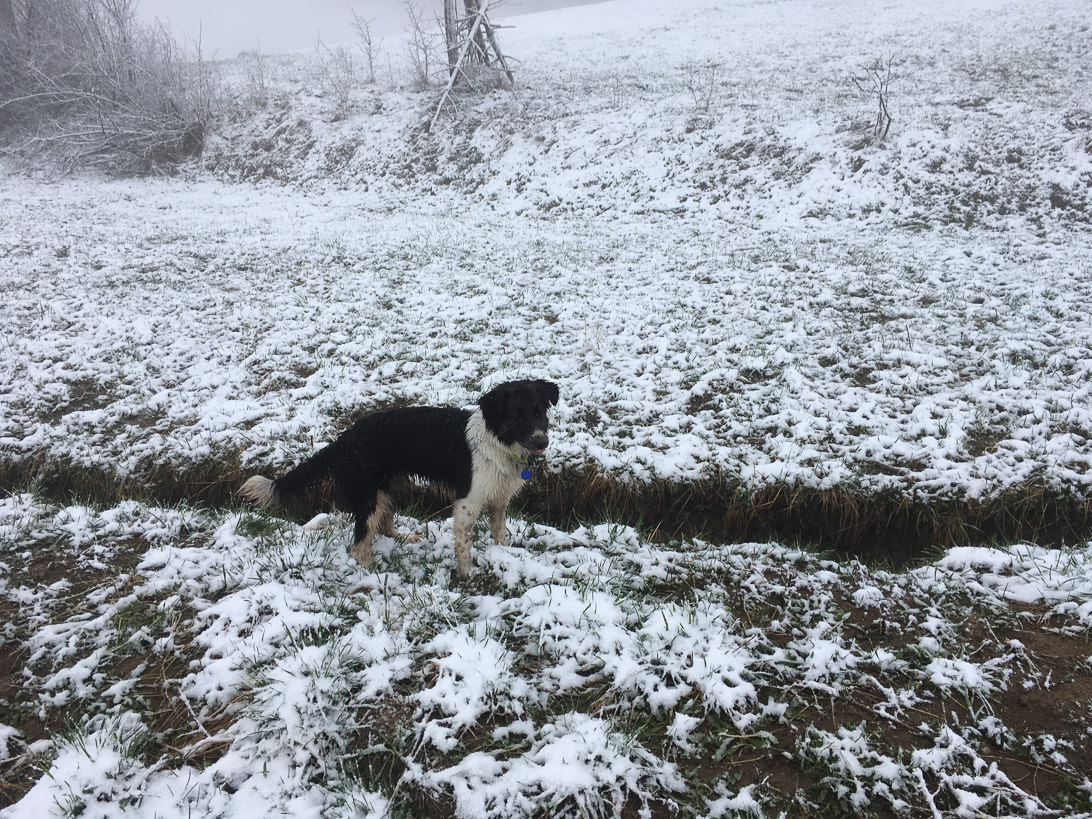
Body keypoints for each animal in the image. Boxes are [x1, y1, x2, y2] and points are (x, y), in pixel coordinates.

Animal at [239, 379, 559, 577]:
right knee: (358, 545)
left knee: (383, 525)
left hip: (388, 487)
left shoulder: (499, 498)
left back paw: (404, 537)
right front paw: (467, 574)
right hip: (370, 496)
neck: (498, 441)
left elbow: (499, 532)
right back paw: (372, 573)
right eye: (516, 415)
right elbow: (464, 544)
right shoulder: (467, 501)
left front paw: (504, 554)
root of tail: (346, 437)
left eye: (539, 412)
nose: (542, 441)